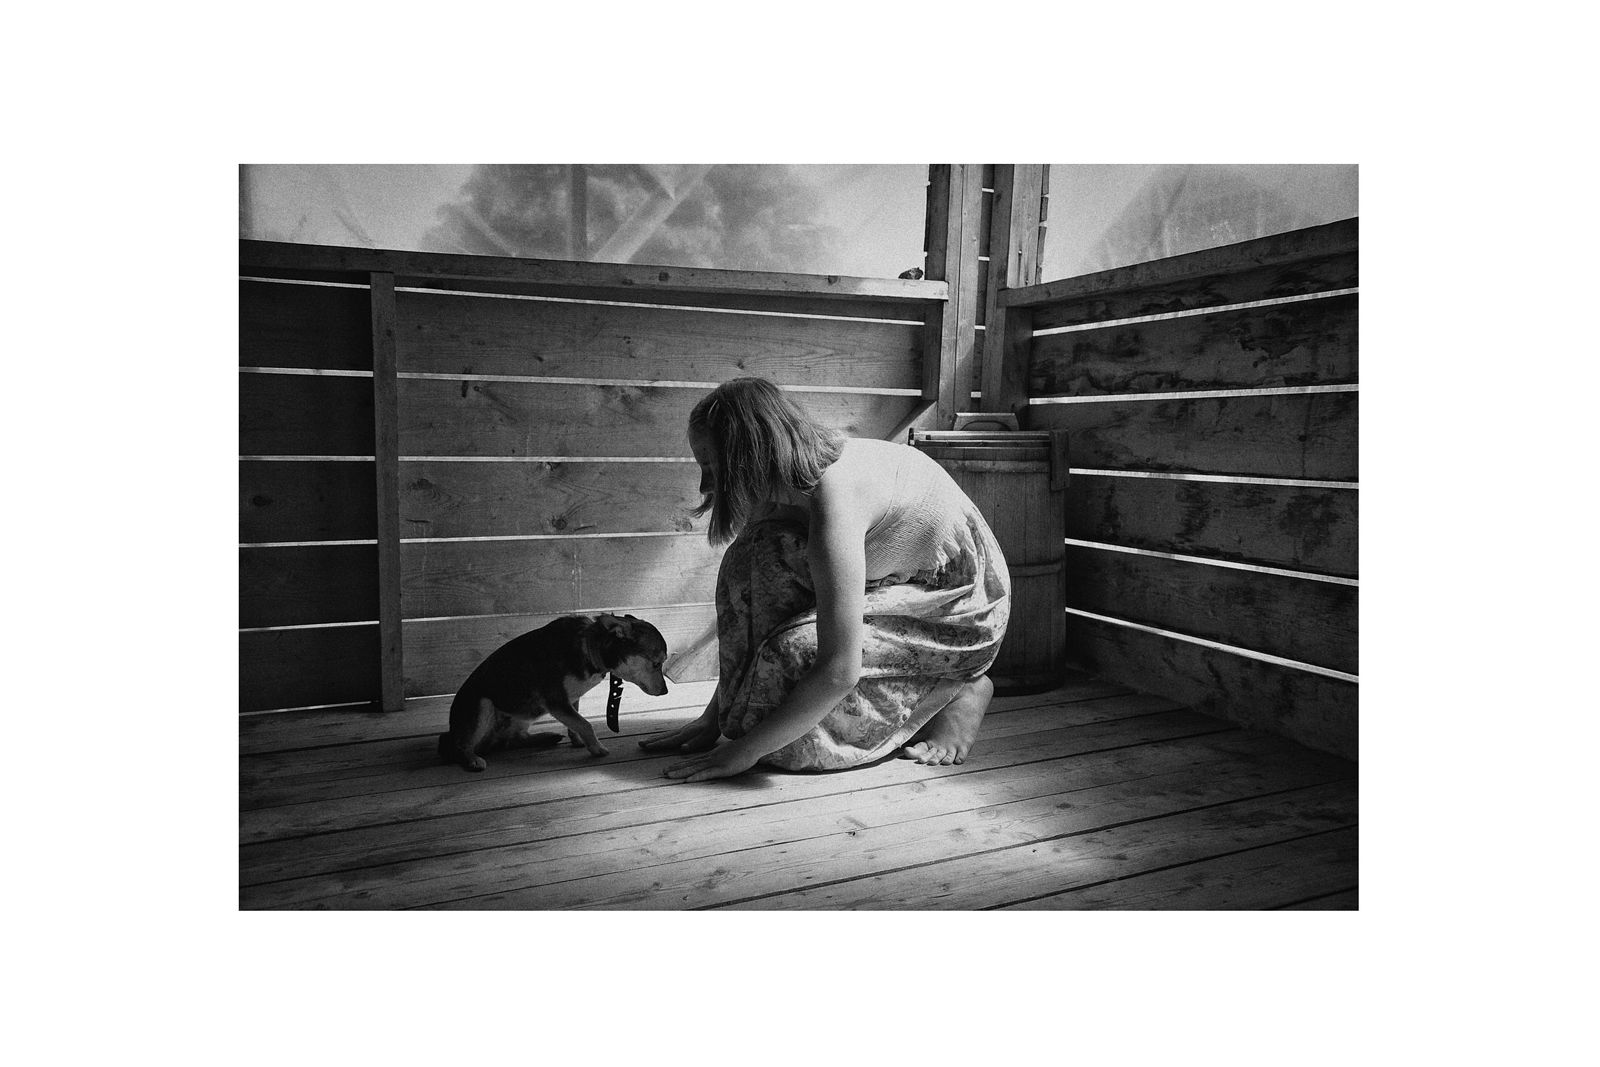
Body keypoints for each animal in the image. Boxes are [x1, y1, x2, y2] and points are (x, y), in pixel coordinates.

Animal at [438, 613, 670, 772]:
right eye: (656, 664)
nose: (666, 691)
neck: (589, 648)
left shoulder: (572, 699)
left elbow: (576, 723)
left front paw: (579, 741)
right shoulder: (558, 702)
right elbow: (585, 724)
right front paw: (596, 748)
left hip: (521, 717)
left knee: (514, 739)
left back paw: (545, 737)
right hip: (482, 706)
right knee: (460, 745)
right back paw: (472, 759)